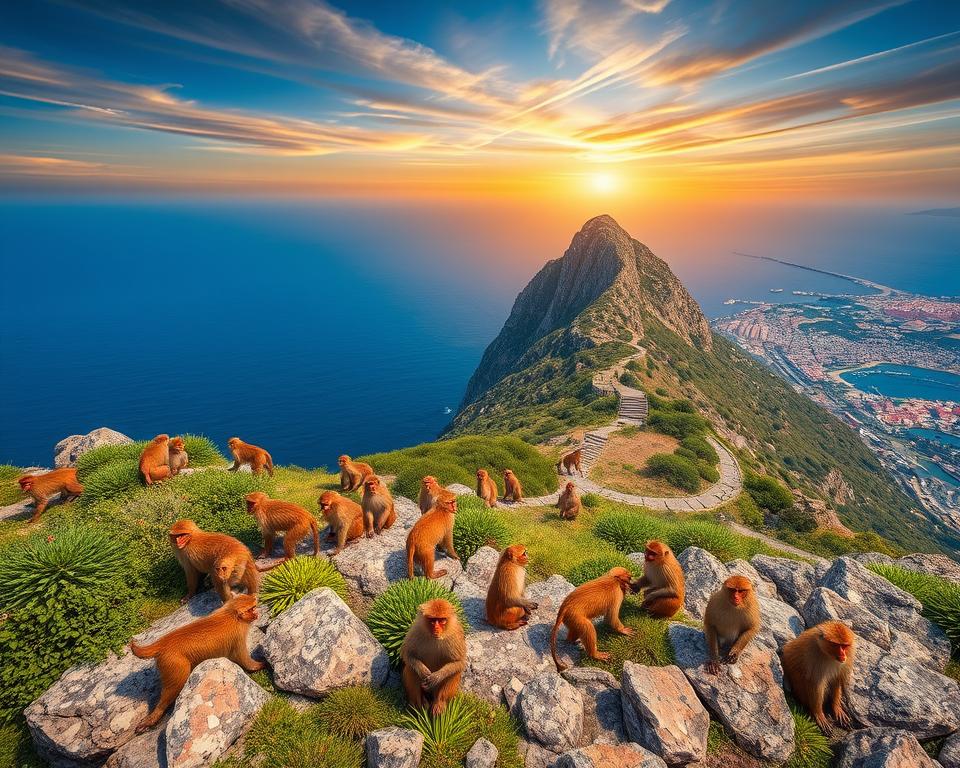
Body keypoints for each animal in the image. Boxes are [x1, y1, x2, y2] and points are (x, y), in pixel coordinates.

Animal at [129, 594, 265, 733]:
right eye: (250, 607)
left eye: (246, 596)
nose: (255, 596)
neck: (230, 614)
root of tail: (162, 643)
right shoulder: (238, 640)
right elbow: (244, 659)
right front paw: (259, 665)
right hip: (177, 669)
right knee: (167, 696)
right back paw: (151, 719)